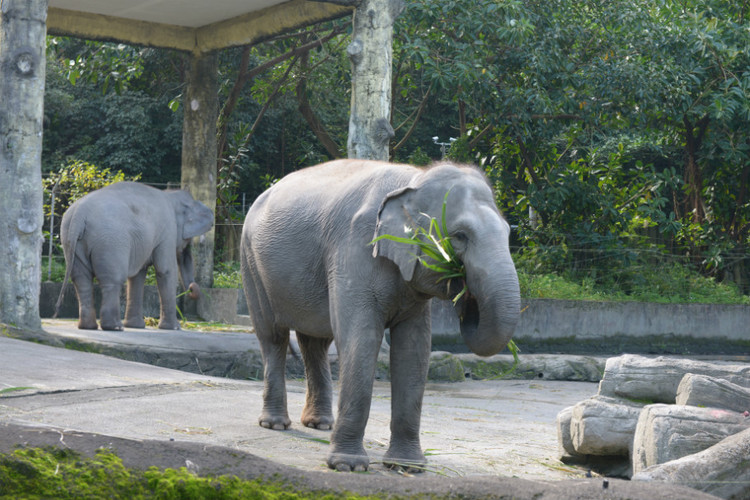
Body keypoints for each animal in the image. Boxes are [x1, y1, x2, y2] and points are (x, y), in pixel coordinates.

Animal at [54, 182, 214, 330]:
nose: (192, 288)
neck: (171, 195)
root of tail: (78, 215)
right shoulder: (167, 232)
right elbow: (166, 271)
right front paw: (174, 328)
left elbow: (138, 275)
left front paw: (136, 326)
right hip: (110, 242)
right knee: (112, 280)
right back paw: (115, 327)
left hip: (71, 241)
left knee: (81, 280)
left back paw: (88, 327)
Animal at [242, 160, 524, 472]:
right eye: (460, 236)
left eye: (508, 232)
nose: (466, 296)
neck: (414, 179)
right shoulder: (355, 249)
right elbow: (361, 339)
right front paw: (348, 466)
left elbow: (414, 350)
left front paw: (407, 466)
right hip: (251, 263)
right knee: (273, 336)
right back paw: (275, 424)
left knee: (314, 342)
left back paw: (320, 425)